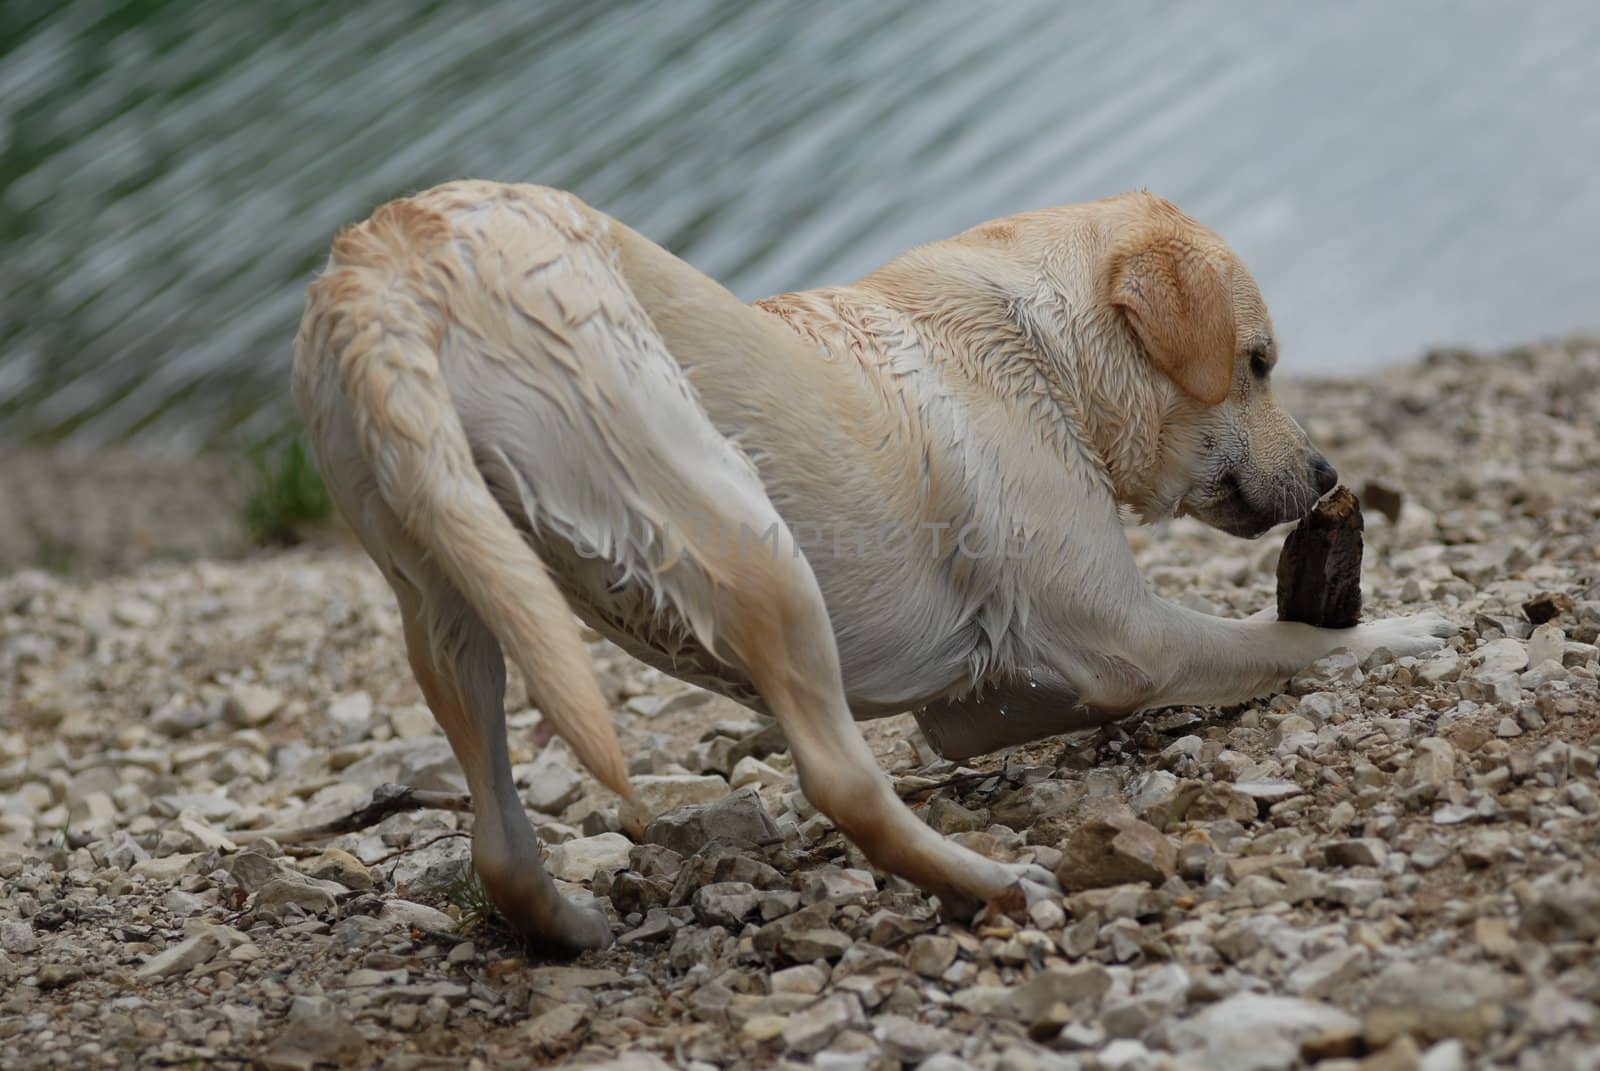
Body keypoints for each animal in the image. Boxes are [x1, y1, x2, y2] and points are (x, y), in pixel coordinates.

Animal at [288, 179, 1452, 947]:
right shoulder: (1128, 643)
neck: (1048, 350)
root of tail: (383, 259)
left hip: (445, 601)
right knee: (840, 780)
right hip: (738, 524)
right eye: (1257, 362)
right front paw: (1398, 626)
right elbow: (1279, 640)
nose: (1327, 472)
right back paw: (993, 888)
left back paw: (571, 927)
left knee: (498, 847)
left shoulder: (980, 701)